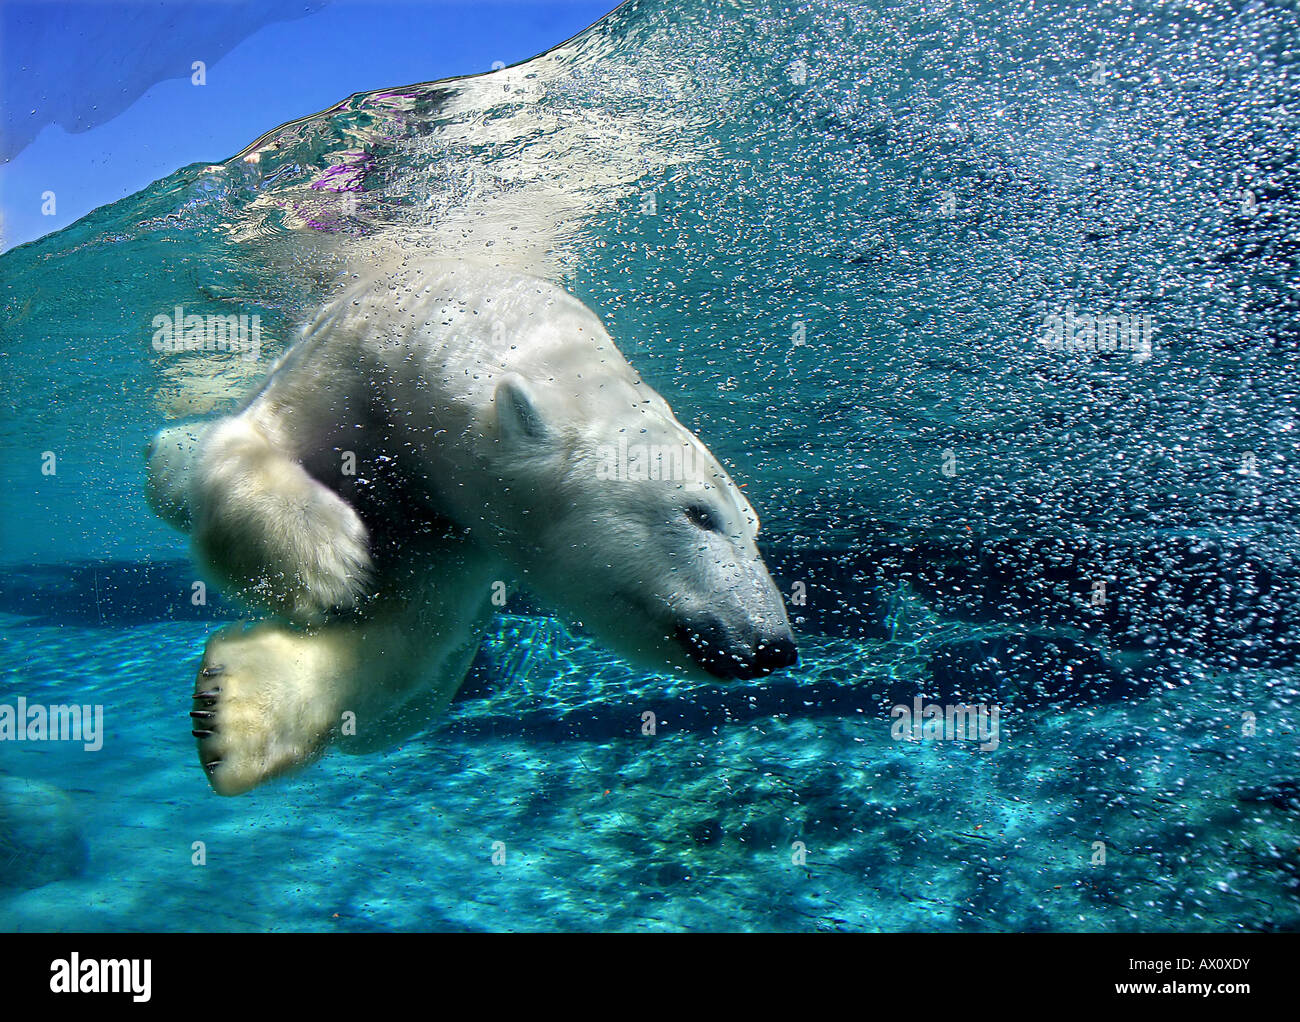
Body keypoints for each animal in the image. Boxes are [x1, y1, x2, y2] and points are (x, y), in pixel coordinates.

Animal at [146, 258, 797, 795]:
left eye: (754, 527)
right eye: (698, 513)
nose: (773, 646)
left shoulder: (463, 532)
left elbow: (409, 631)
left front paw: (231, 711)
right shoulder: (350, 365)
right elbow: (253, 443)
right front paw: (326, 561)